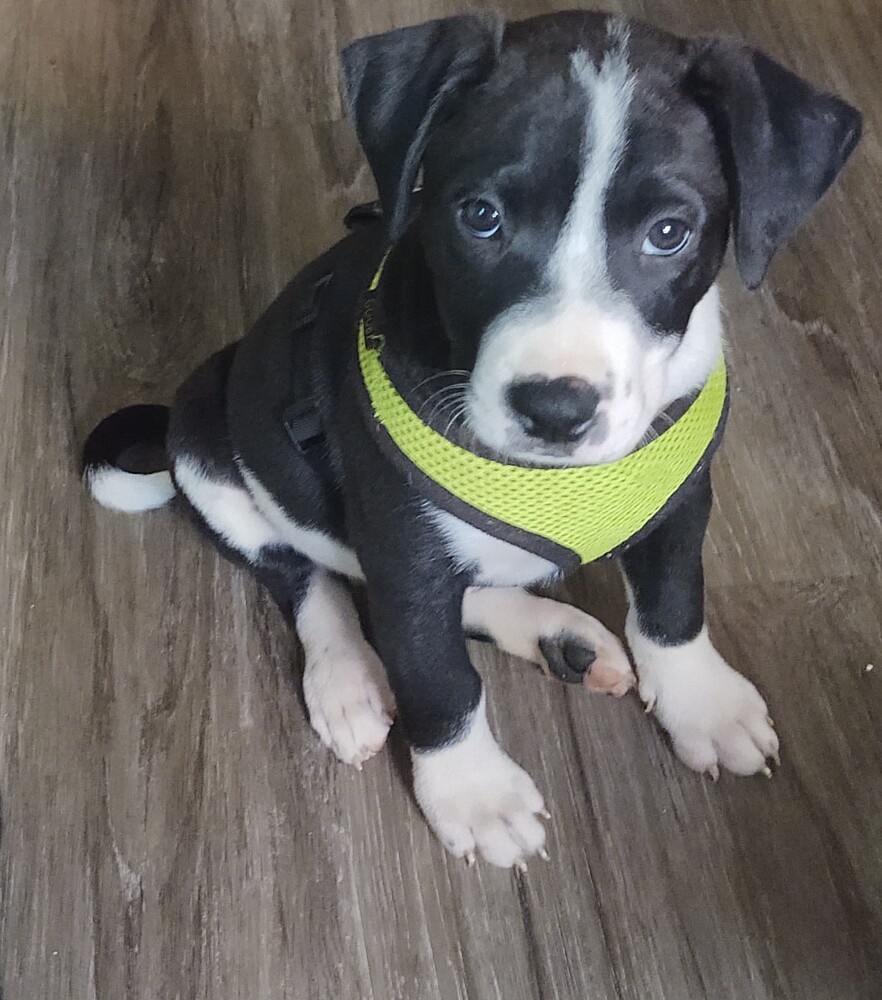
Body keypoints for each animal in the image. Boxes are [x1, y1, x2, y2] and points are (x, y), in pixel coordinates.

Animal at [84, 9, 860, 868]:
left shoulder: (679, 492)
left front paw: (702, 701)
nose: (555, 409)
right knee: (308, 579)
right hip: (207, 442)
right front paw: (472, 791)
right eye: (481, 216)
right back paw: (347, 679)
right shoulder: (404, 546)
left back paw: (558, 637)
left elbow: (673, 599)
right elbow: (436, 676)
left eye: (670, 233)